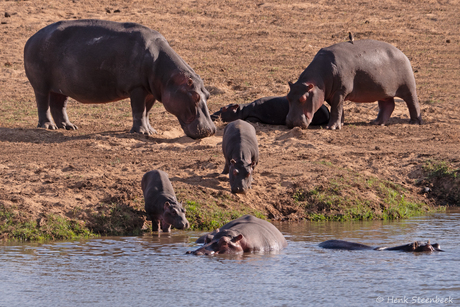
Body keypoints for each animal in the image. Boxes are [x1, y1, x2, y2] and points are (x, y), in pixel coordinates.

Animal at [22, 19, 216, 140]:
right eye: (195, 96)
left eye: (207, 94)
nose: (211, 130)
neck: (169, 77)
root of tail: (31, 37)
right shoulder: (137, 88)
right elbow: (138, 110)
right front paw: (140, 132)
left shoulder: (151, 91)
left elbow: (146, 112)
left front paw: (151, 131)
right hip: (41, 85)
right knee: (43, 104)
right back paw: (48, 127)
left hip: (61, 87)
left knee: (58, 105)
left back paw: (68, 126)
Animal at [286, 38, 422, 130]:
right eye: (287, 97)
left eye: (303, 98)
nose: (292, 123)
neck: (317, 81)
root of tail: (402, 53)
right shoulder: (332, 93)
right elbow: (338, 108)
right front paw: (340, 124)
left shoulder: (340, 90)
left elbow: (336, 108)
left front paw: (331, 127)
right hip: (382, 92)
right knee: (387, 105)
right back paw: (376, 122)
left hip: (408, 87)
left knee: (412, 102)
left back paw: (414, 122)